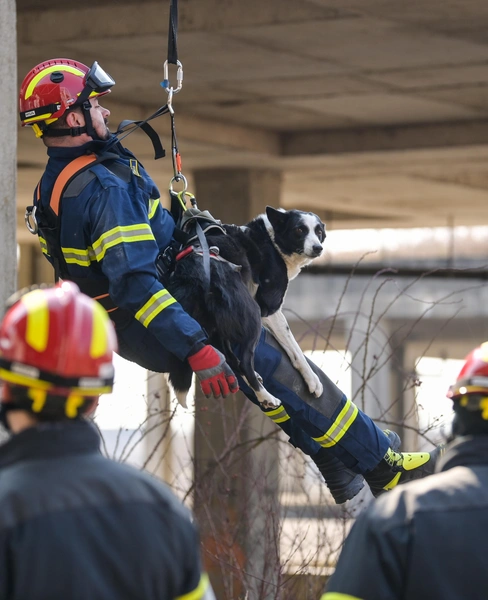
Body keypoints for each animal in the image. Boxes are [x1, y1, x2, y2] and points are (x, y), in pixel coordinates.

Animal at [166, 205, 326, 408]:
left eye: (319, 231)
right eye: (299, 230)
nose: (318, 248)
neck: (272, 240)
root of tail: (193, 272)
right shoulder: (269, 309)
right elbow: (294, 346)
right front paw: (313, 381)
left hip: (216, 325)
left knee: (229, 358)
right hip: (252, 316)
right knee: (244, 362)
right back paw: (266, 396)